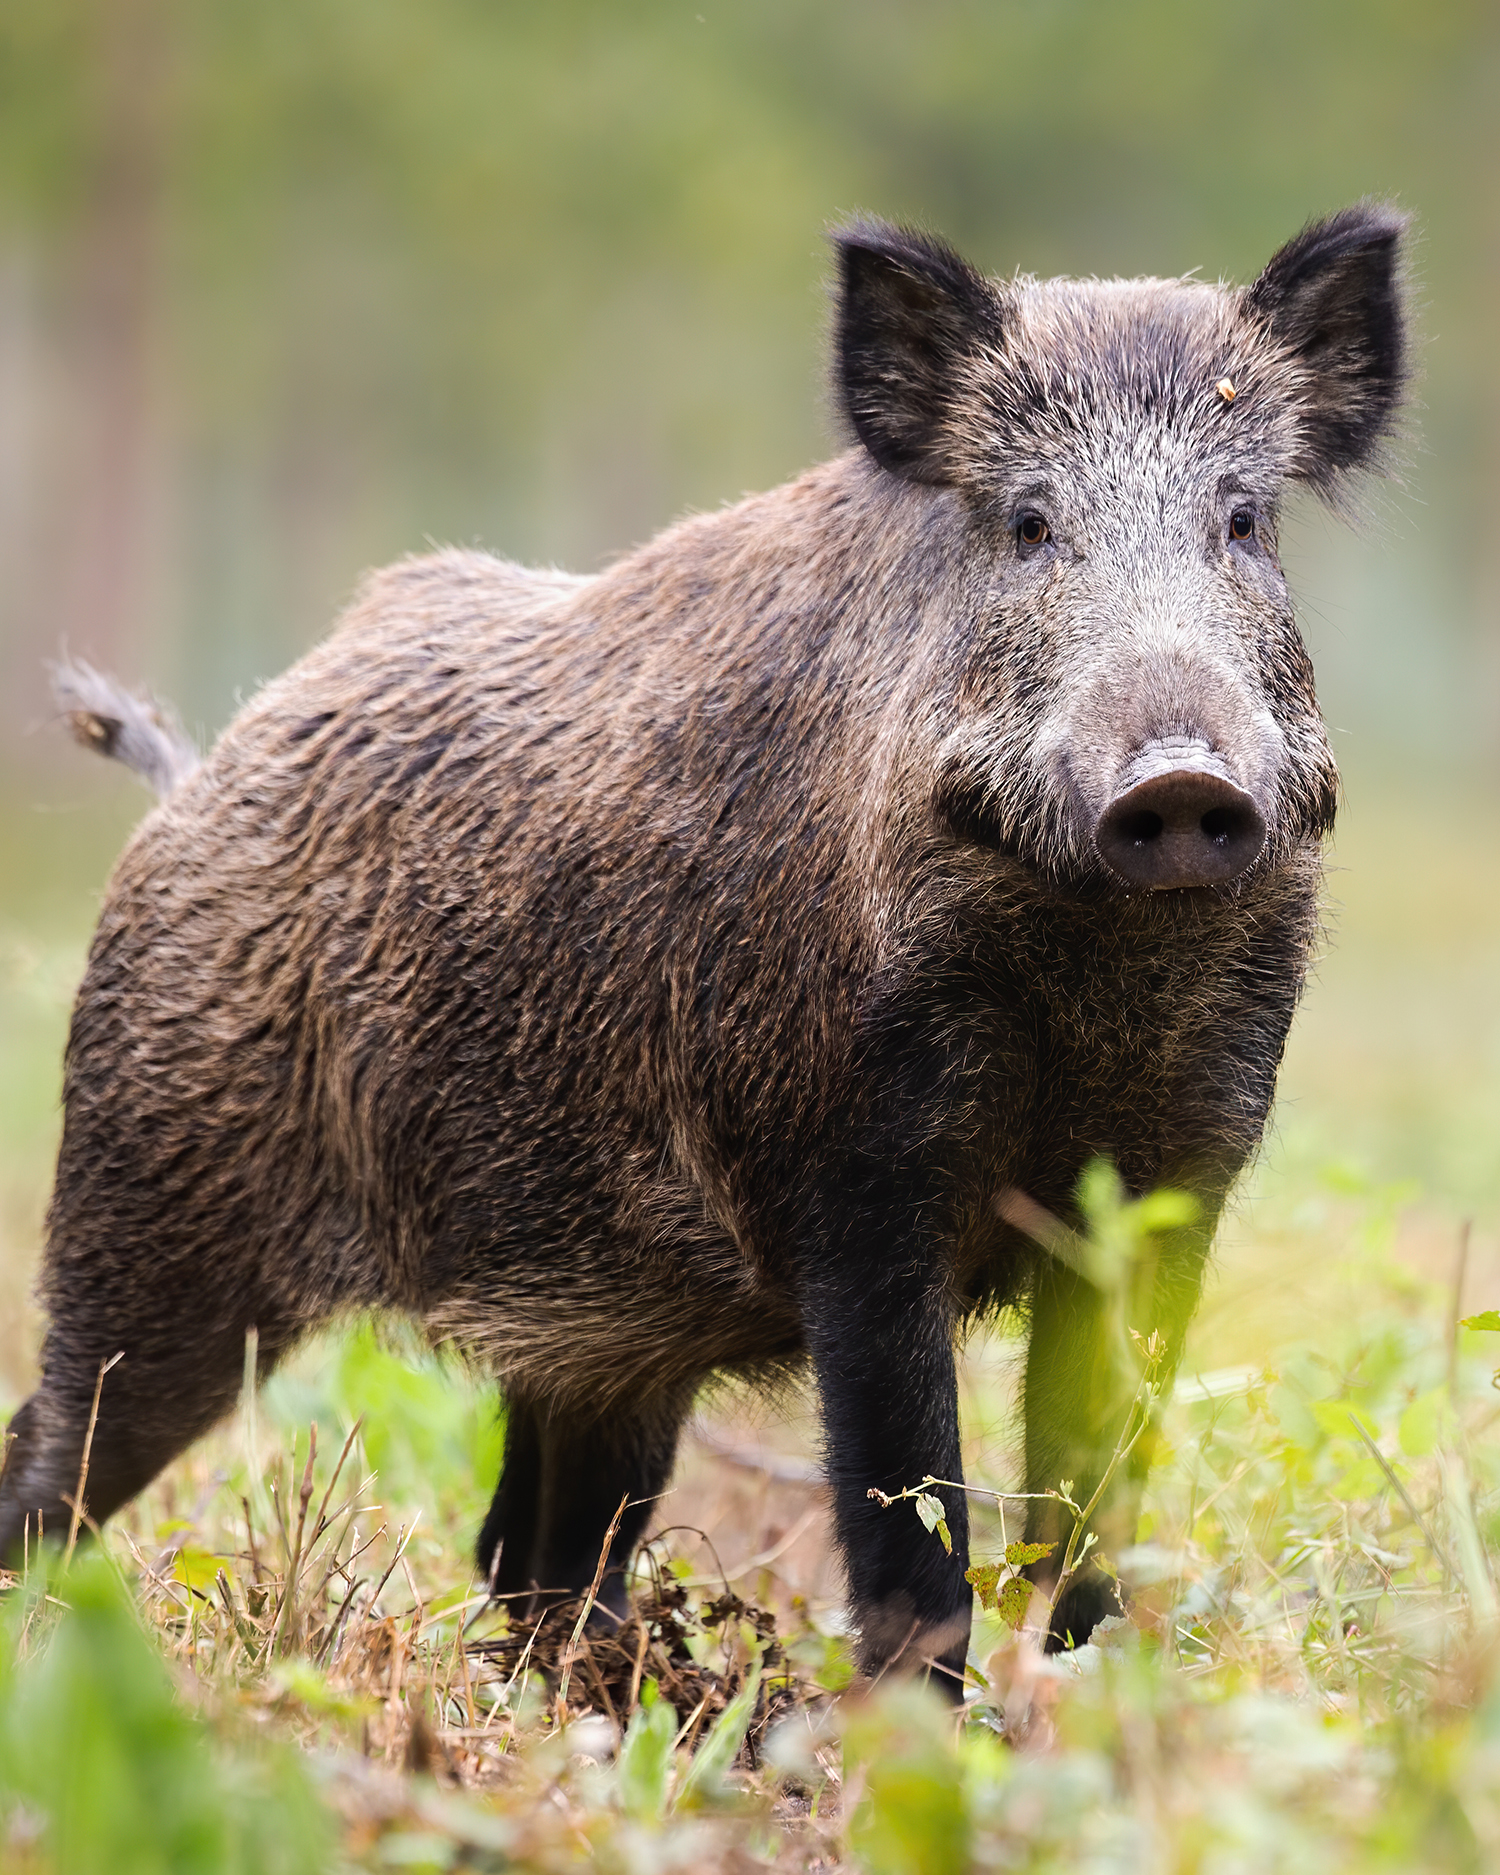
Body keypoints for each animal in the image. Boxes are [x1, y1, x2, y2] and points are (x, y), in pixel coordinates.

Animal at [0, 205, 1407, 1690]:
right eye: (1029, 524)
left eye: (1243, 520)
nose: (1181, 781)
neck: (1092, 976)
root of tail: (192, 786)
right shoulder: (853, 1181)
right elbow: (911, 1515)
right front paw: (915, 1726)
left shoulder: (1173, 1182)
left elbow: (1093, 1495)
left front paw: (1081, 1697)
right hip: (145, 1207)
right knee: (53, 1461)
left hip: (596, 1333)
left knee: (530, 1545)